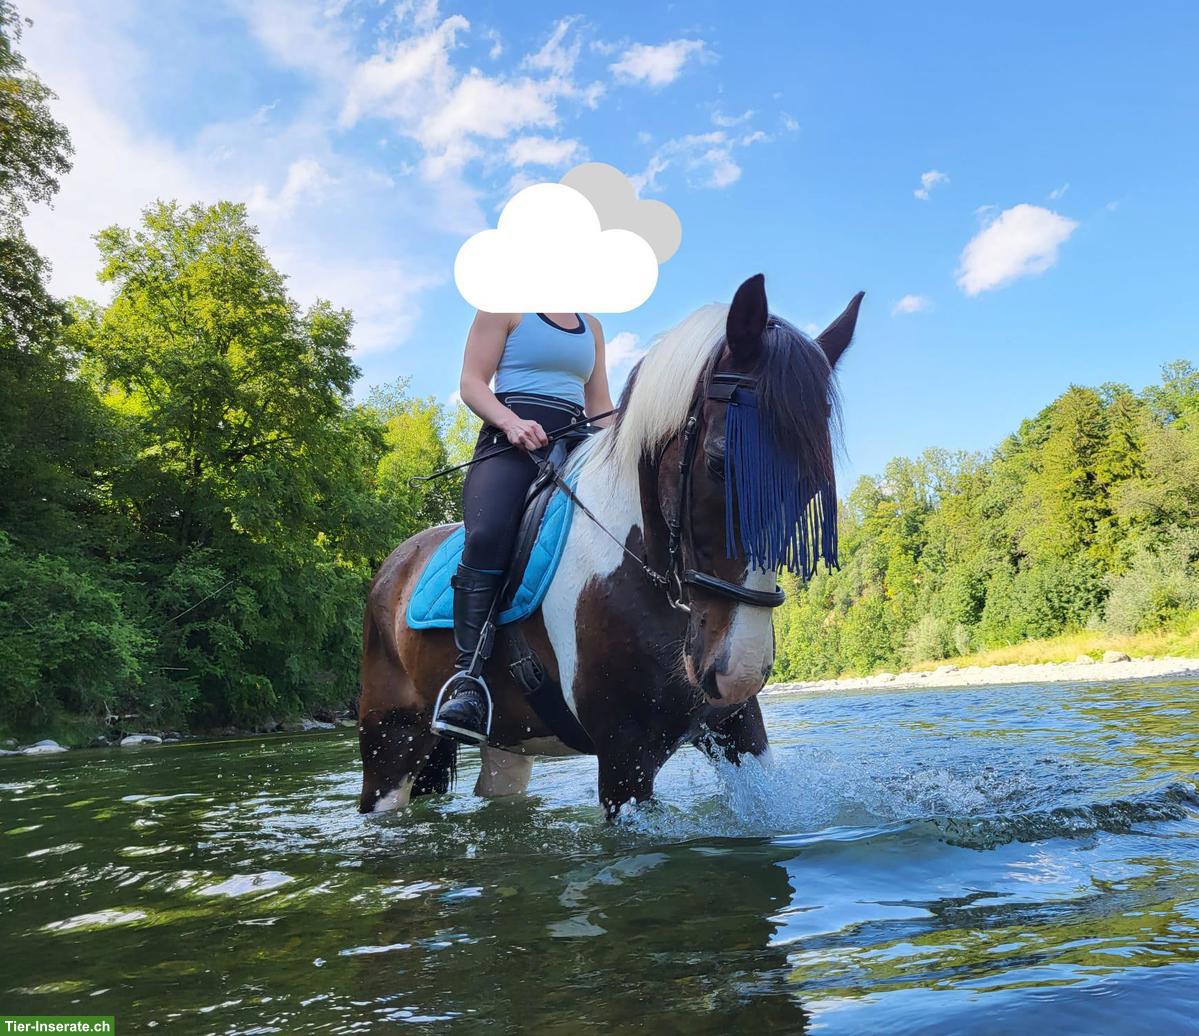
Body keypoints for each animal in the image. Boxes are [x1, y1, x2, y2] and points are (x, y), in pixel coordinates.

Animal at [357, 274, 862, 818]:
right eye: (719, 463)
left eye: (809, 487)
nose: (740, 670)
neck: (645, 570)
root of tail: (394, 565)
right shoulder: (626, 757)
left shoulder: (737, 728)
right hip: (389, 743)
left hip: (506, 747)